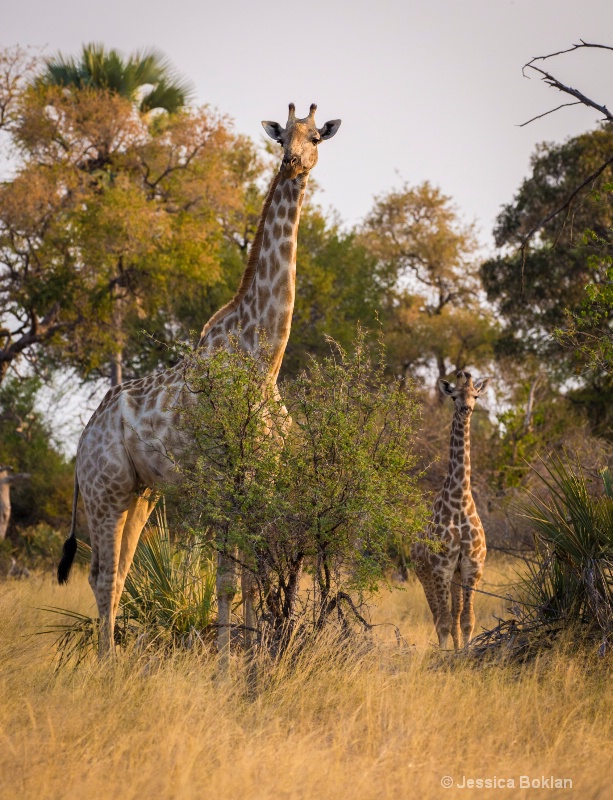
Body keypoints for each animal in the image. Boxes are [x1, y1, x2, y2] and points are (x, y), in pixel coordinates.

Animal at [58, 103, 342, 660]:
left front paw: (254, 663)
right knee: (101, 575)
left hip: (140, 494)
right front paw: (225, 666)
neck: (263, 361)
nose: (295, 162)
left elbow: (252, 579)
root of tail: (84, 435)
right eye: (282, 138)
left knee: (117, 574)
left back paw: (114, 661)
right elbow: (227, 581)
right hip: (105, 491)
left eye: (316, 136)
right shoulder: (225, 479)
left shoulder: (261, 480)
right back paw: (105, 664)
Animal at [412, 372, 492, 652]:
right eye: (454, 396)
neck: (459, 501)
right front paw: (444, 655)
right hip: (424, 574)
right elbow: (444, 622)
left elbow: (467, 620)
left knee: (455, 615)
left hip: (456, 577)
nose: (466, 409)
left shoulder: (471, 567)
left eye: (475, 395)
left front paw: (463, 654)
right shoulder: (441, 568)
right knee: (438, 615)